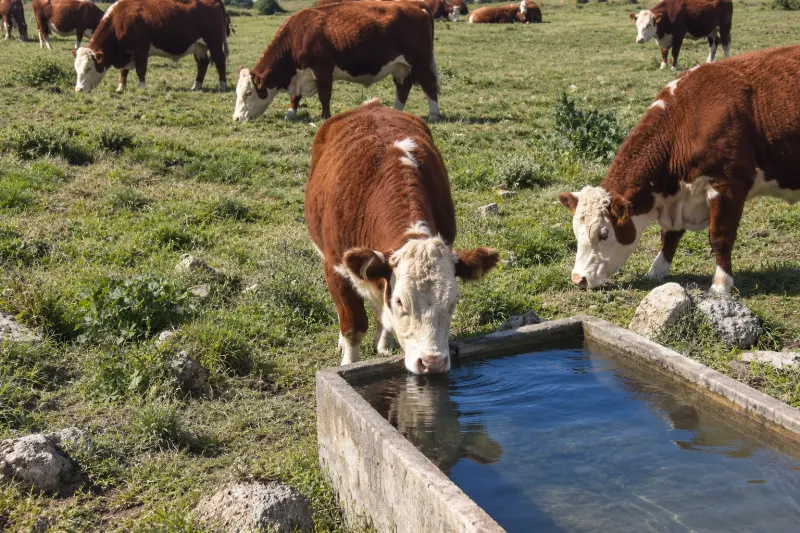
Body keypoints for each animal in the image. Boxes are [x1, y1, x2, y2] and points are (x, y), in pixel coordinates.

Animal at [72, 0, 231, 94]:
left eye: (89, 68)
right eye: (76, 69)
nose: (78, 89)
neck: (119, 20)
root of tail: (215, 1)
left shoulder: (141, 48)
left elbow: (140, 69)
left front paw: (142, 87)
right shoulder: (126, 52)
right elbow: (124, 71)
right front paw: (121, 87)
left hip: (214, 43)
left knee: (220, 61)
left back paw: (222, 85)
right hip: (199, 46)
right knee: (202, 63)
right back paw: (196, 85)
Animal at [234, 2, 442, 122]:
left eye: (248, 92)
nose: (236, 118)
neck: (298, 35)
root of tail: (417, 5)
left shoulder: (323, 69)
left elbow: (324, 95)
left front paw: (325, 117)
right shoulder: (300, 75)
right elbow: (295, 97)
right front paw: (290, 113)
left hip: (420, 62)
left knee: (429, 85)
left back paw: (433, 114)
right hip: (400, 67)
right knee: (403, 87)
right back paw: (395, 111)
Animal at [305, 100, 499, 373]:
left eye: (453, 302)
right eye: (400, 302)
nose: (432, 362)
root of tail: (372, 105)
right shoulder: (335, 269)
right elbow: (353, 326)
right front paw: (348, 362)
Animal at [558, 46, 800, 296]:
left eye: (604, 233)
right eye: (576, 231)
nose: (578, 279)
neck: (686, 121)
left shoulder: (727, 185)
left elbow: (720, 237)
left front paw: (721, 284)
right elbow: (669, 236)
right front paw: (657, 270)